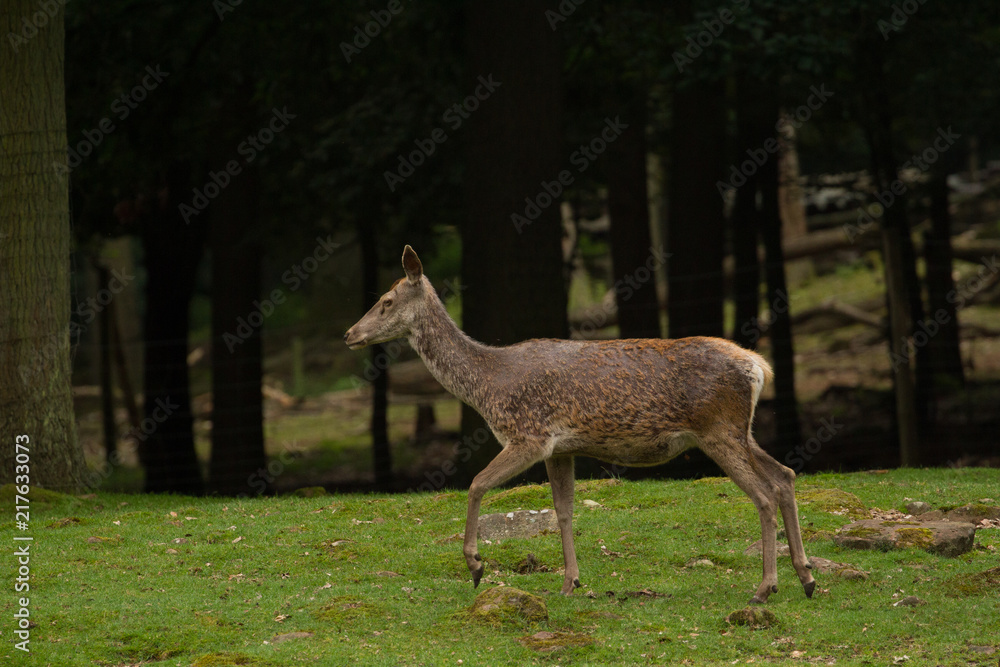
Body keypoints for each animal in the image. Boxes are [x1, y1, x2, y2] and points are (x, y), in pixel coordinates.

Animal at [344, 246, 816, 604]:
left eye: (386, 300)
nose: (350, 334)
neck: (488, 385)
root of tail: (758, 367)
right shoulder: (562, 448)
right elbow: (564, 511)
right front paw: (570, 581)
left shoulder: (528, 435)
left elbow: (477, 483)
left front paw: (476, 566)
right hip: (741, 430)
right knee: (785, 476)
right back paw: (807, 576)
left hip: (718, 428)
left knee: (762, 494)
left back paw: (764, 588)